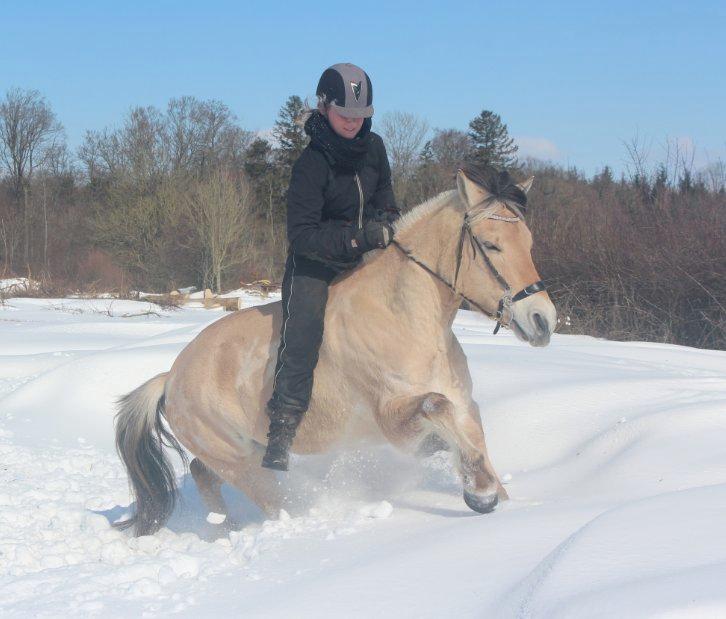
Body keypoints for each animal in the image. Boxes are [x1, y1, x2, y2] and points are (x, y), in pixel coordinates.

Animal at [115, 166, 556, 536]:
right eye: (491, 245)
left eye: (529, 242)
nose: (543, 319)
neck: (405, 318)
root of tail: (169, 378)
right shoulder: (394, 422)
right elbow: (437, 408)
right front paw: (479, 493)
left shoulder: (464, 403)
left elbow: (470, 431)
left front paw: (493, 492)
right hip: (241, 462)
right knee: (266, 499)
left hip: (241, 452)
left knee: (202, 474)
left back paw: (224, 530)